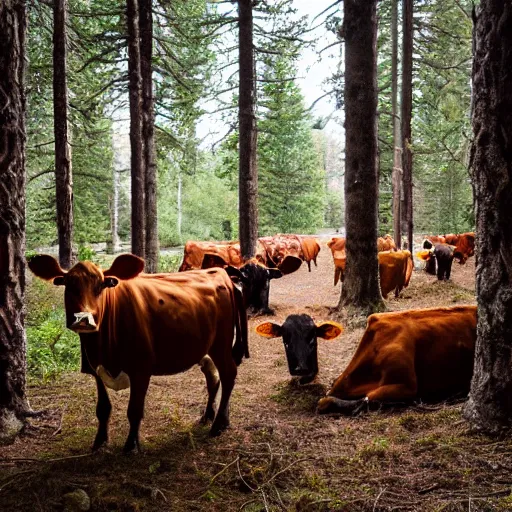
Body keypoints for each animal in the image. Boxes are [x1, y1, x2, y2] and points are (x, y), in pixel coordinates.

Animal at [28, 253, 248, 452]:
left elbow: (134, 410)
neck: (103, 348)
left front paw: (131, 444)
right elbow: (103, 409)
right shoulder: (95, 368)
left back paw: (218, 425)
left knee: (228, 375)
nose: (83, 319)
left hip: (221, 344)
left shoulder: (141, 369)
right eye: (69, 285)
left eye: (101, 286)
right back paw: (212, 416)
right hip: (206, 349)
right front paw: (99, 441)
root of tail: (220, 272)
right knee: (213, 377)